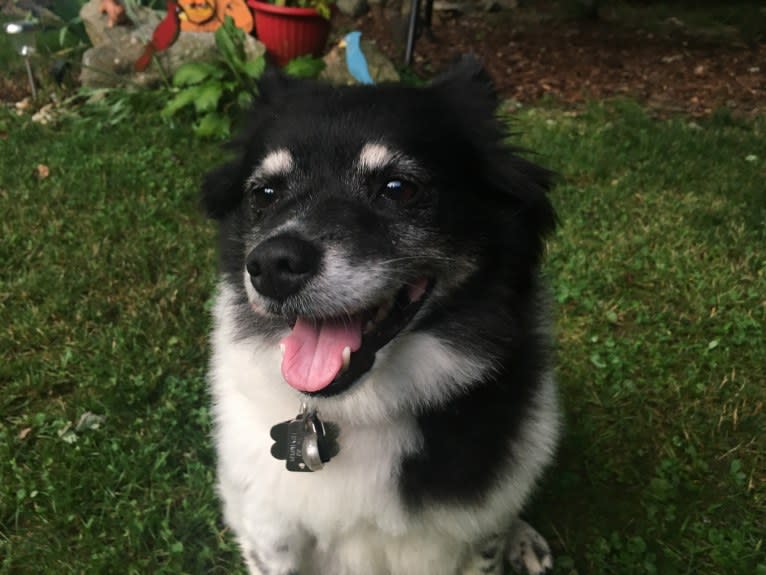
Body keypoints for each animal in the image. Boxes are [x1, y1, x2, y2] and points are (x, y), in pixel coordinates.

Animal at [204, 55, 560, 575]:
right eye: (265, 194)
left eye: (398, 188)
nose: (272, 267)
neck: (360, 408)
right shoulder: (271, 533)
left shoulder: (477, 531)